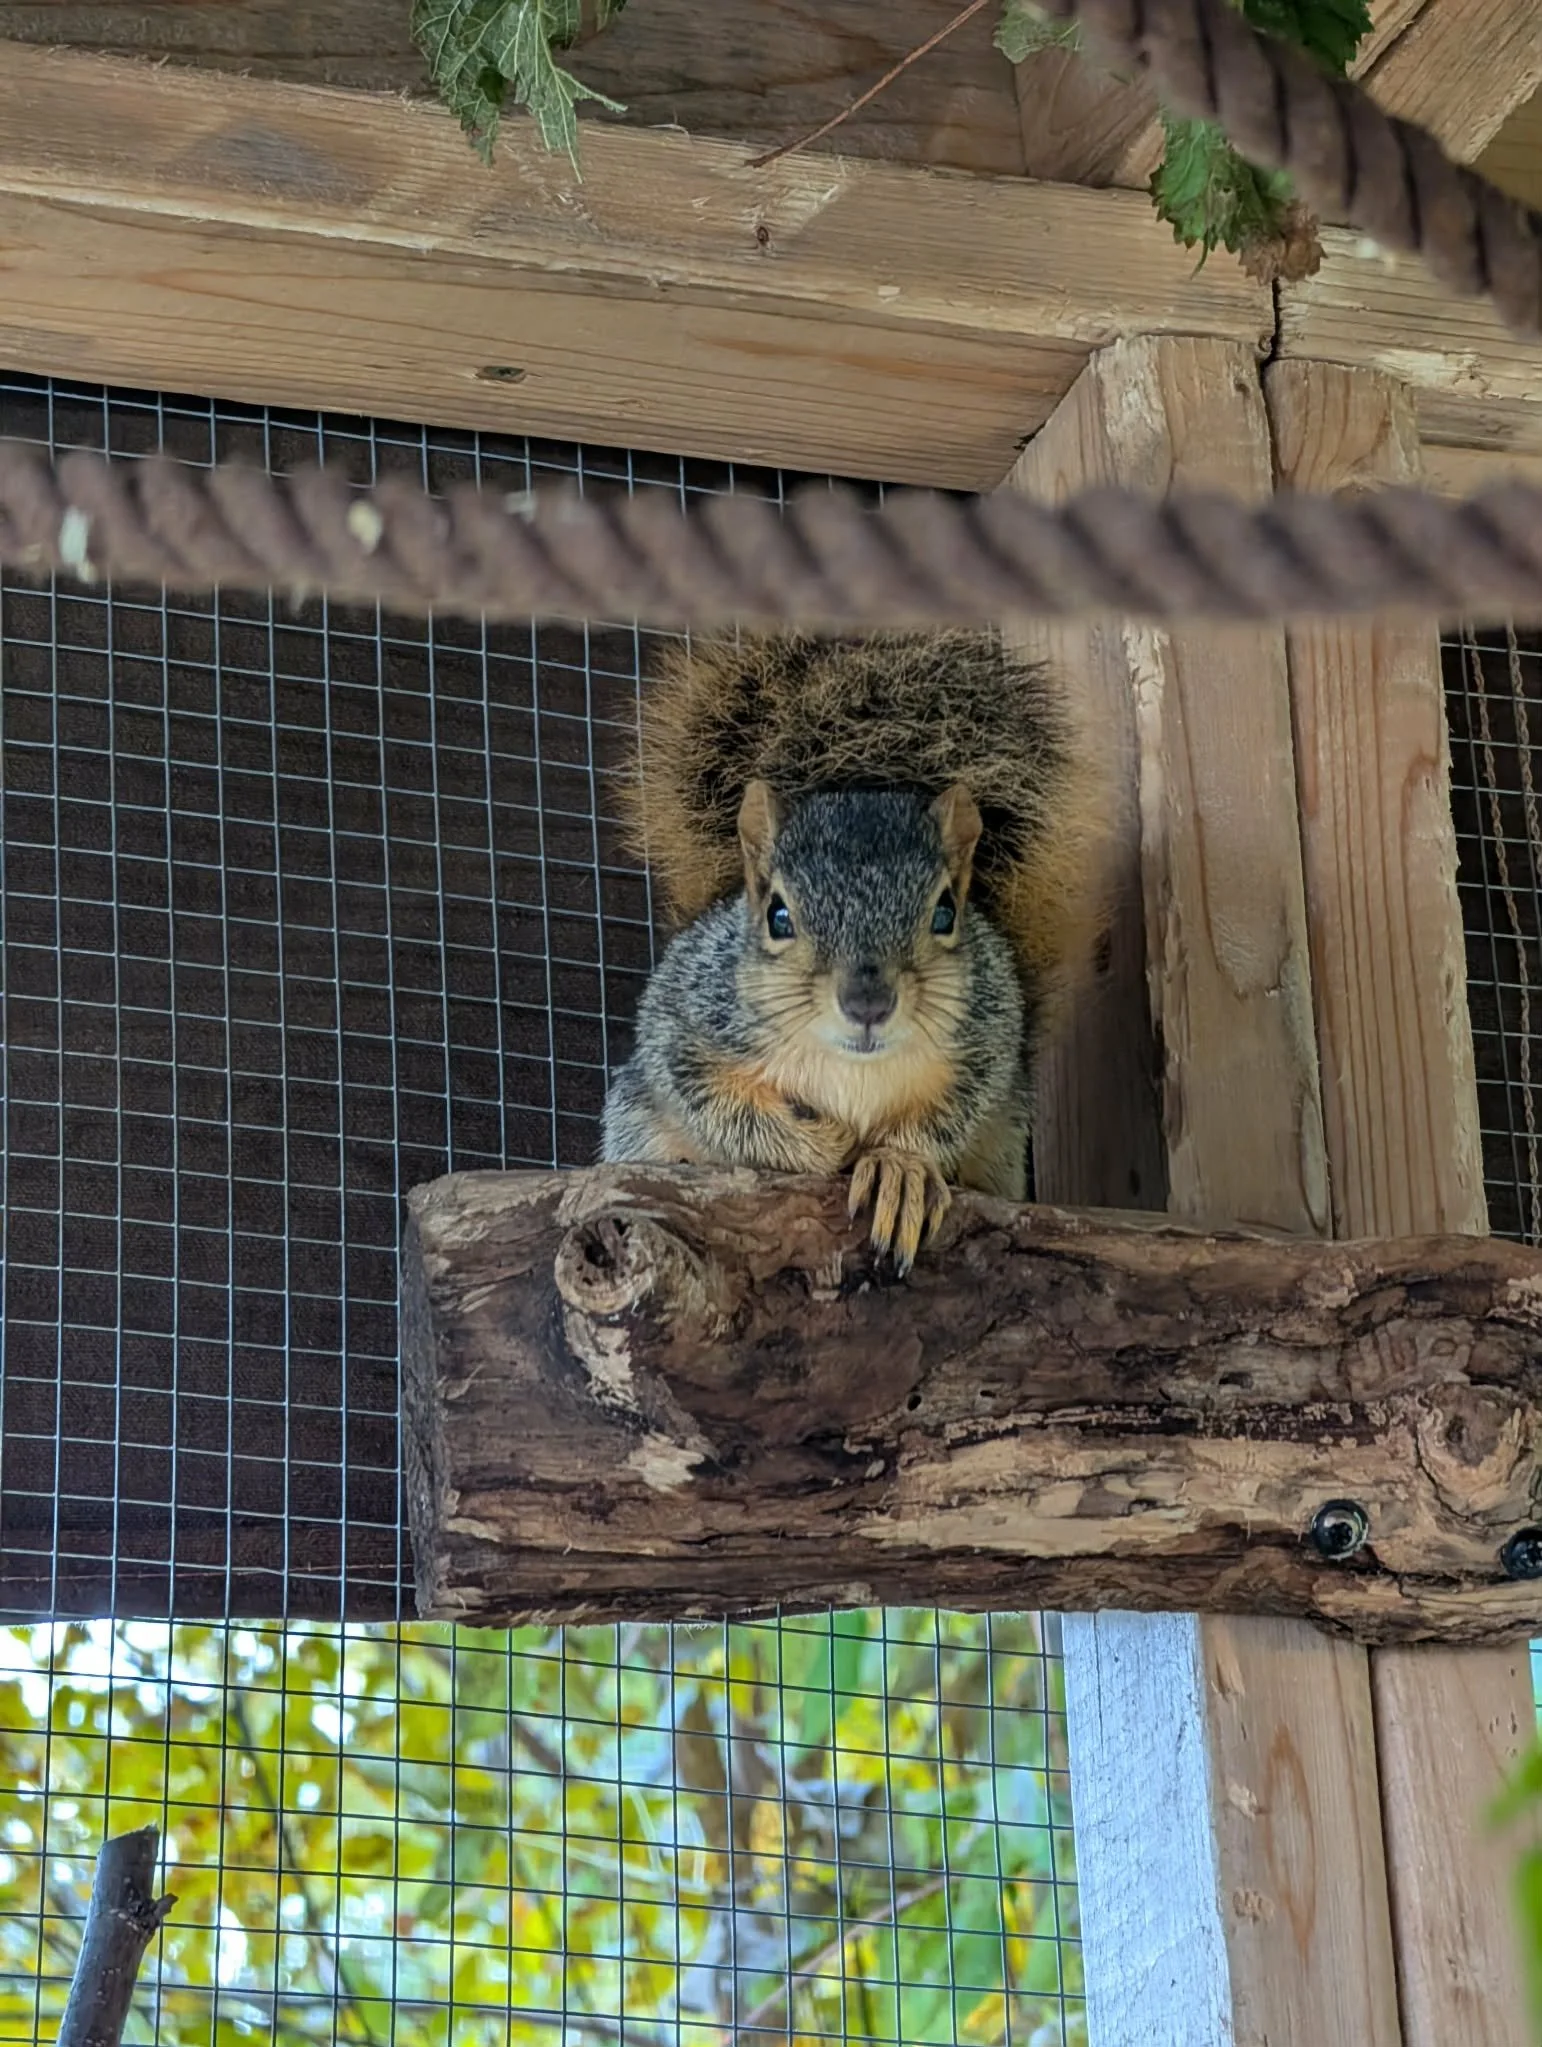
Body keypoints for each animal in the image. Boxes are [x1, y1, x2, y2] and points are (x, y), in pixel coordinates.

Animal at [600, 630, 1107, 1272]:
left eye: (946, 911)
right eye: (778, 915)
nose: (868, 1003)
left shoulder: (989, 1036)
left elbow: (951, 1114)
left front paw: (900, 1168)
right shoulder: (689, 1021)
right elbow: (714, 1102)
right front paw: (821, 1145)